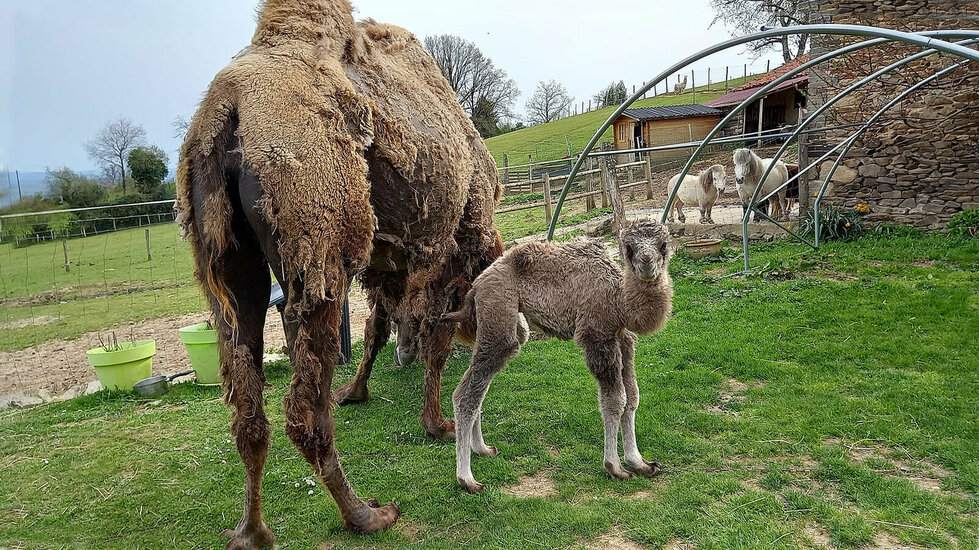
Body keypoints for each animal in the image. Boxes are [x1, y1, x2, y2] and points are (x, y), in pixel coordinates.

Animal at [444, 221, 672, 496]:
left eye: (663, 244)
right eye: (628, 247)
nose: (647, 263)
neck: (618, 300)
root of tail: (476, 285)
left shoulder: (622, 339)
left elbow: (633, 398)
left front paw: (640, 463)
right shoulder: (597, 336)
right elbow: (615, 401)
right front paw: (615, 467)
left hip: (509, 324)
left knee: (476, 389)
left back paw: (483, 449)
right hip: (498, 314)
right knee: (467, 394)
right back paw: (467, 479)